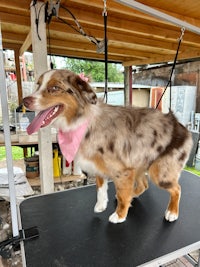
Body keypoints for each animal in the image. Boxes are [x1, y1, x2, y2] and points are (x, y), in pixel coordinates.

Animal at [22, 69, 193, 224]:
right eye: (38, 85)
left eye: (55, 88)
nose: (25, 101)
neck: (84, 122)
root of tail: (181, 127)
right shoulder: (100, 166)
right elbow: (100, 188)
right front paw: (101, 205)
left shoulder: (123, 171)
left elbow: (122, 194)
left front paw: (120, 215)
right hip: (140, 162)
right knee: (143, 185)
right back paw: (133, 195)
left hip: (160, 173)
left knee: (176, 189)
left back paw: (172, 212)